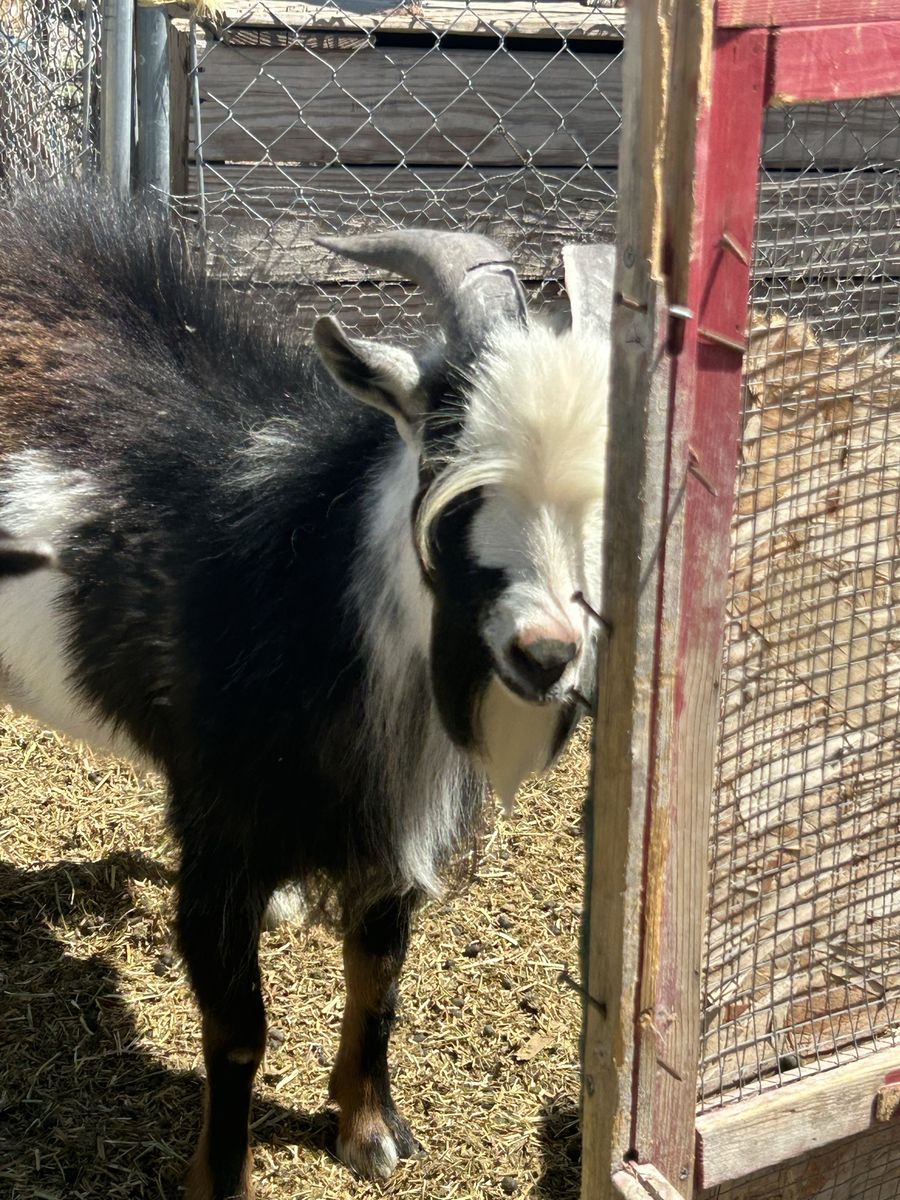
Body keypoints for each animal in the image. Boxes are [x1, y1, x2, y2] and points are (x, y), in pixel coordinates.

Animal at [0, 184, 612, 1199]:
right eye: (448, 452)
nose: (546, 654)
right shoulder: (219, 835)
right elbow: (238, 1028)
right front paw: (219, 1179)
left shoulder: (394, 828)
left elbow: (380, 974)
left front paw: (369, 1131)